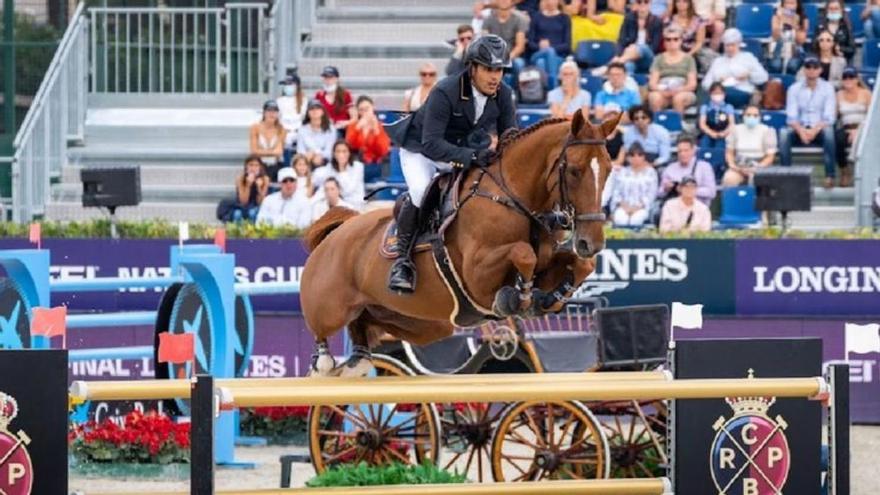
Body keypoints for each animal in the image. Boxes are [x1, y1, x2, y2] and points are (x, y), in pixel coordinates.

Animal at [302, 110, 620, 376]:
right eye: (575, 170)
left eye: (608, 170)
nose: (590, 242)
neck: (513, 198)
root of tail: (337, 232)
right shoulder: (477, 275)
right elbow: (523, 254)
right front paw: (517, 297)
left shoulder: (549, 261)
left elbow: (581, 265)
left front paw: (551, 298)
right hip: (330, 307)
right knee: (322, 334)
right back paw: (327, 363)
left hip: (420, 323)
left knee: (367, 322)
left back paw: (358, 359)